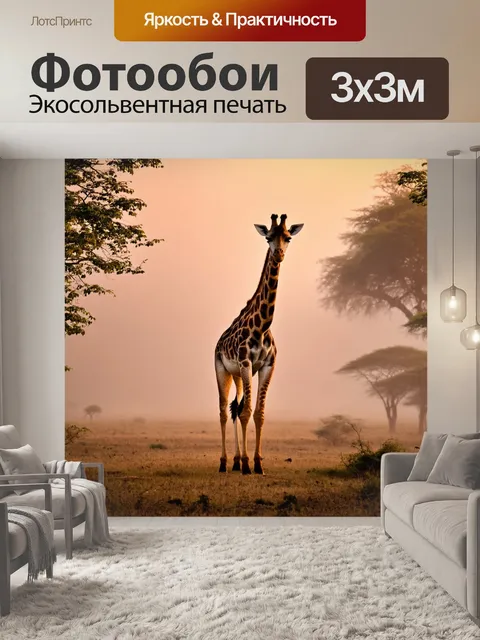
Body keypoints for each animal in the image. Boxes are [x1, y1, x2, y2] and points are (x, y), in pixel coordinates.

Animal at [214, 214, 304, 475]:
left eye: (288, 237)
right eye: (268, 237)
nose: (279, 254)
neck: (262, 326)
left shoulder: (266, 366)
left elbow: (258, 414)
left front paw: (256, 463)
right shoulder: (245, 363)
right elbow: (246, 413)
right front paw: (247, 465)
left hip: (237, 375)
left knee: (234, 407)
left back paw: (234, 461)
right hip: (223, 369)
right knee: (224, 411)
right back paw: (224, 462)